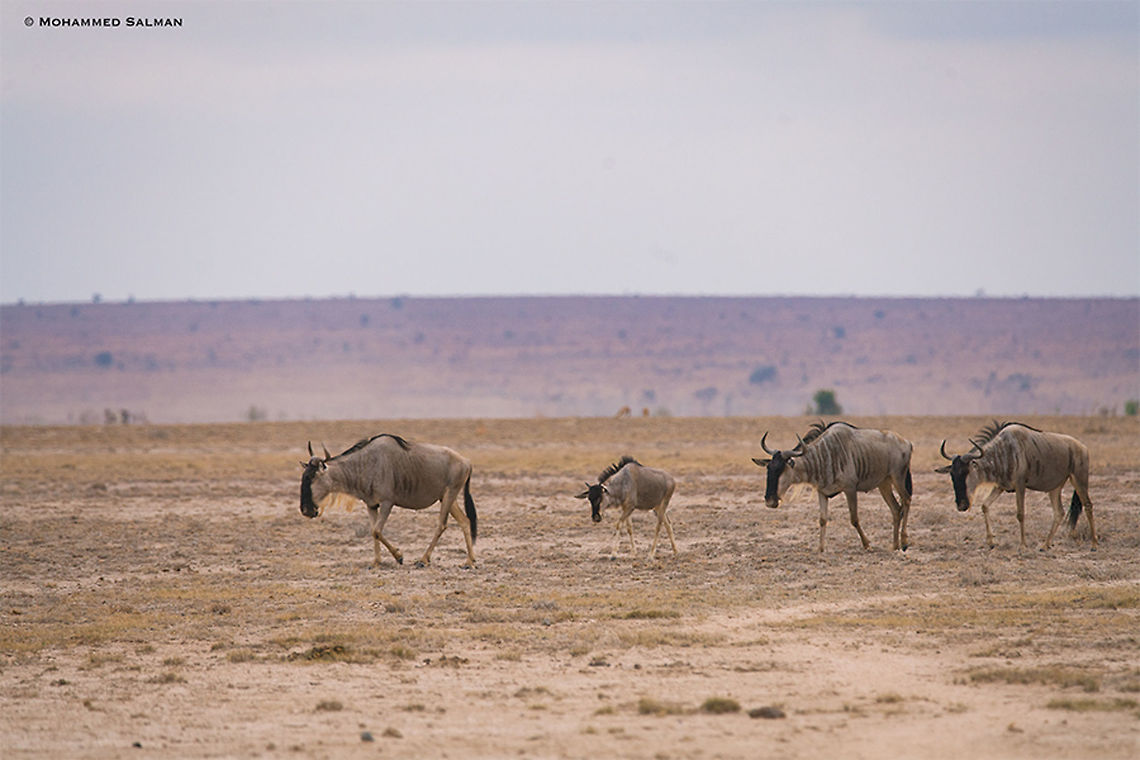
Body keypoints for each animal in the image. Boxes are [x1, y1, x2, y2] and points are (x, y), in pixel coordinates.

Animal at [299, 434, 477, 568]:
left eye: (312, 477)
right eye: (303, 477)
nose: (306, 510)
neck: (365, 464)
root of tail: (467, 462)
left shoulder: (387, 503)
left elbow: (377, 531)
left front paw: (399, 556)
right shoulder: (371, 505)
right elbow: (373, 531)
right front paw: (376, 562)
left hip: (449, 495)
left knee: (442, 524)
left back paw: (423, 560)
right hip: (447, 498)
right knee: (465, 521)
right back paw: (469, 561)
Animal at [752, 421, 913, 552]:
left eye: (781, 470)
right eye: (769, 468)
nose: (770, 501)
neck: (824, 457)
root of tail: (907, 442)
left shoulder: (850, 489)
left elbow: (854, 519)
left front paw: (867, 544)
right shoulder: (822, 492)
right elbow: (822, 519)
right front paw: (820, 548)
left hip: (898, 478)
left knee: (906, 500)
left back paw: (904, 542)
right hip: (884, 483)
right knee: (896, 509)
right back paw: (895, 546)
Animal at [936, 421, 1096, 550]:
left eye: (966, 472)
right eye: (952, 475)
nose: (961, 506)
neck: (1003, 453)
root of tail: (1084, 448)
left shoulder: (1020, 485)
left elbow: (1020, 514)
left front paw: (1023, 545)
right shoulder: (1000, 486)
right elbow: (985, 506)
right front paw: (991, 542)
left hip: (1079, 479)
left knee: (1088, 505)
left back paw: (1094, 544)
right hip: (1055, 487)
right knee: (1059, 512)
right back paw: (1045, 545)